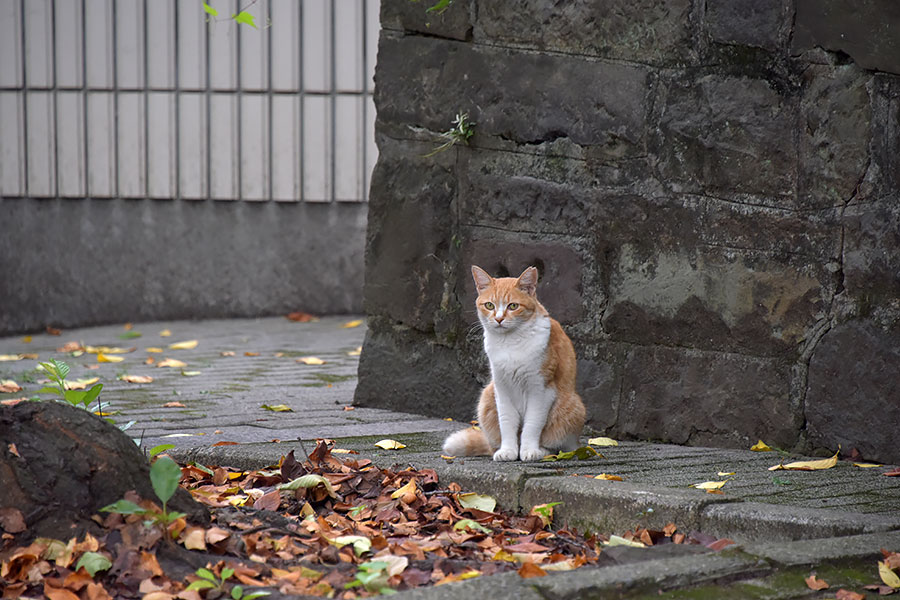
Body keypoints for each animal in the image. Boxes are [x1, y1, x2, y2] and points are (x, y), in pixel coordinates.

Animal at [442, 264, 584, 462]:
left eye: (513, 306)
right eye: (489, 305)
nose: (499, 319)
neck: (510, 343)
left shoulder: (541, 390)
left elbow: (532, 424)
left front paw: (529, 450)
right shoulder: (502, 389)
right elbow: (507, 423)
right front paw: (508, 450)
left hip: (572, 407)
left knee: (559, 446)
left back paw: (543, 451)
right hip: (487, 397)